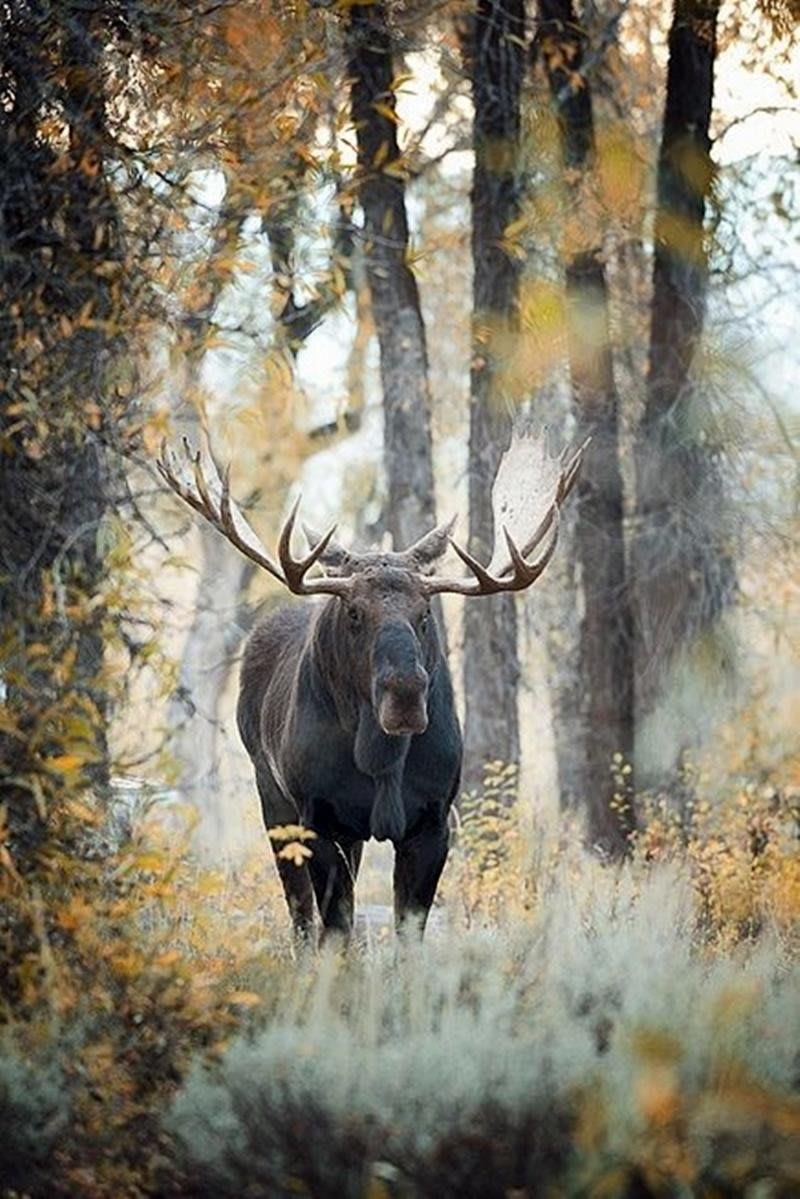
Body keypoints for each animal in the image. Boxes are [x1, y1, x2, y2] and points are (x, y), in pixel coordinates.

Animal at [155, 426, 585, 940]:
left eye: (425, 612)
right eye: (355, 612)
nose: (406, 694)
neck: (381, 759)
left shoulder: (434, 821)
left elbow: (408, 932)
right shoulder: (319, 819)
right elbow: (335, 928)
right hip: (271, 795)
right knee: (300, 915)